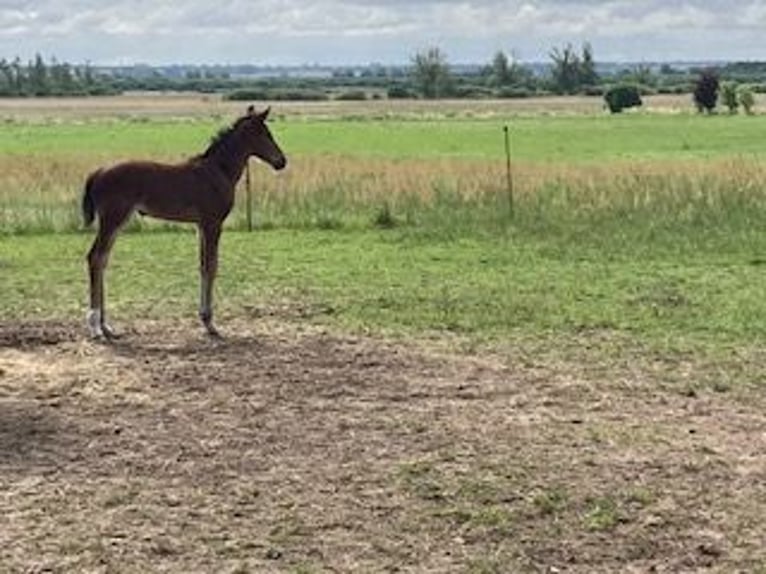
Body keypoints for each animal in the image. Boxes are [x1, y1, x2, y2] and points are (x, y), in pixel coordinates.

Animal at [82, 106, 288, 340]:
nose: (282, 161)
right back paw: (95, 327)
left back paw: (106, 326)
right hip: (112, 219)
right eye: (265, 134)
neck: (219, 170)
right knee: (95, 257)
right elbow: (212, 266)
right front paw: (210, 323)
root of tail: (98, 172)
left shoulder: (201, 225)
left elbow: (202, 265)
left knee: (102, 259)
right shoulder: (213, 223)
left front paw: (204, 318)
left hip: (117, 221)